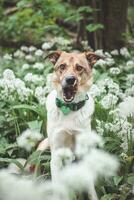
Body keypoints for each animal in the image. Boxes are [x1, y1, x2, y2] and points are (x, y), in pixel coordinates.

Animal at [37, 50, 101, 179]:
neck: (69, 108)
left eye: (79, 67)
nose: (70, 79)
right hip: (42, 147)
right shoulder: (56, 152)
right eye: (62, 66)